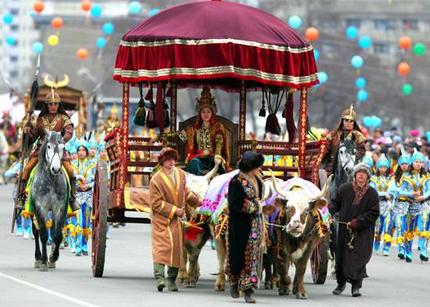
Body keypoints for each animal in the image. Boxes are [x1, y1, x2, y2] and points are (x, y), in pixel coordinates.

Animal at [30, 131, 69, 272]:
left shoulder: (60, 207)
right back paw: (38, 258)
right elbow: (43, 234)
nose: (55, 169)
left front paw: (53, 258)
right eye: (48, 146)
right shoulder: (40, 207)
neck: (51, 181)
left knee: (52, 230)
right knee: (36, 232)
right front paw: (43, 261)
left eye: (63, 147)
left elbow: (57, 235)